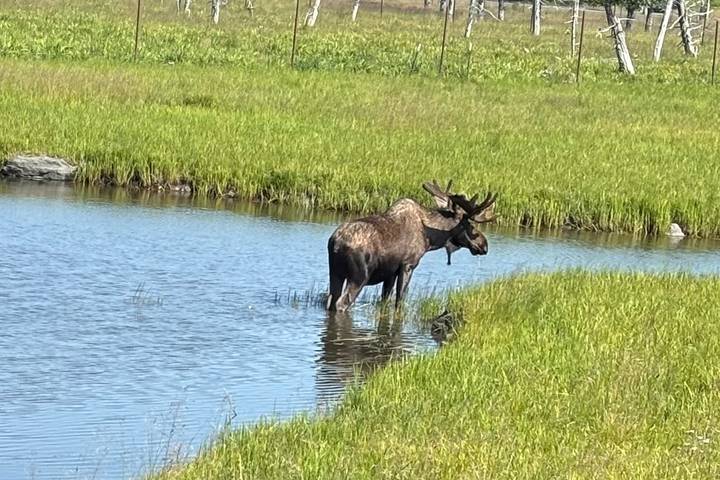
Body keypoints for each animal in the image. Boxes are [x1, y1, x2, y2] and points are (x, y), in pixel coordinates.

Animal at [326, 181, 496, 312]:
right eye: (470, 225)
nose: (484, 245)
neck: (430, 239)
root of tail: (336, 243)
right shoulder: (408, 265)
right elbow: (400, 301)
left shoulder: (391, 273)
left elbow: (385, 300)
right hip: (359, 277)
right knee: (341, 304)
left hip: (335, 273)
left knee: (331, 301)